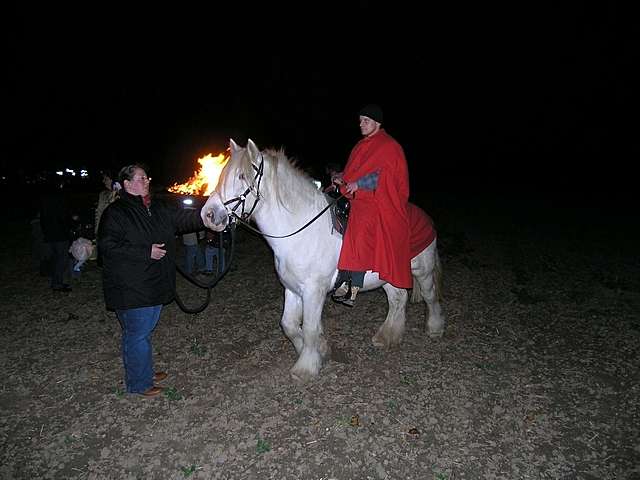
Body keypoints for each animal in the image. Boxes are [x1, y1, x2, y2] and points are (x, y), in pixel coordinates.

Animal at [201, 139, 444, 382]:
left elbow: (309, 327)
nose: (208, 215)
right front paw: (317, 349)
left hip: (422, 269)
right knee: (398, 299)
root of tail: (425, 217)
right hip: (386, 276)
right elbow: (289, 325)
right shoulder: (293, 289)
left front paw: (306, 367)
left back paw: (435, 328)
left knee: (430, 295)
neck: (301, 230)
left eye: (242, 176)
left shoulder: (313, 291)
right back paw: (387, 336)